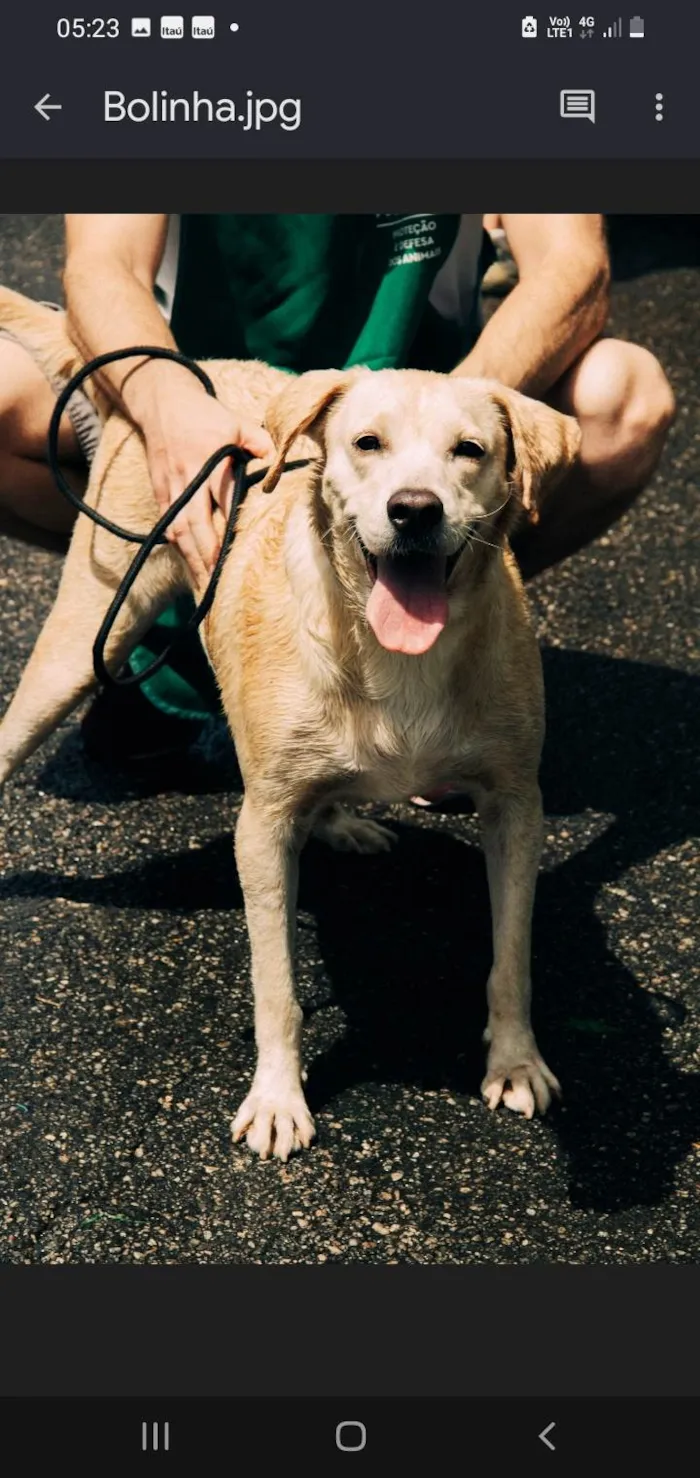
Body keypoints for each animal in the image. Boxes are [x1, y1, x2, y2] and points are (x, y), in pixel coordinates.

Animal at [0, 288, 578, 1158]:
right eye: (368, 443)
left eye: (469, 451)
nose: (414, 511)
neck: (393, 656)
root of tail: (192, 367)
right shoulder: (262, 829)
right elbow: (276, 985)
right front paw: (278, 1097)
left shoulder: (516, 807)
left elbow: (512, 955)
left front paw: (515, 1060)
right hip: (80, 640)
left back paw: (339, 819)